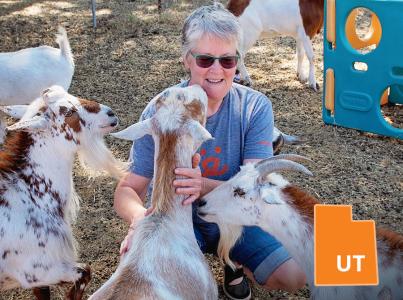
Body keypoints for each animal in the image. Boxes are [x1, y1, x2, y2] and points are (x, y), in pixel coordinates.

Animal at [0, 85, 125, 298]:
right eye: (68, 112)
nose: (110, 113)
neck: (29, 195)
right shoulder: (38, 271)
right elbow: (85, 271)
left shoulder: (39, 279)